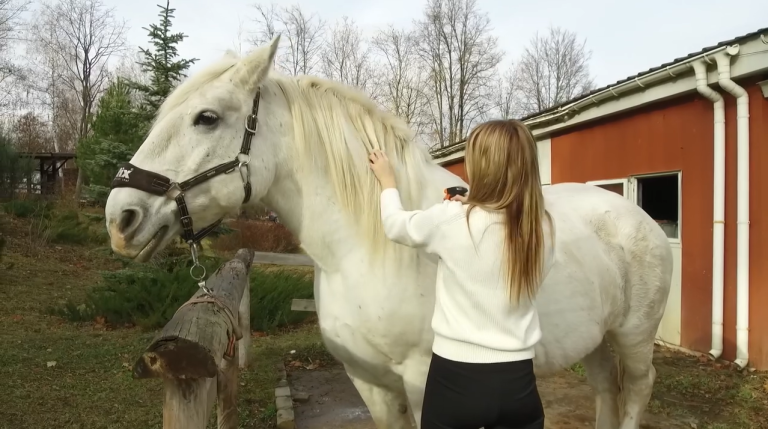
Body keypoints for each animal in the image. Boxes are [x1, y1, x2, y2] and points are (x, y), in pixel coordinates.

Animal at [103, 36, 672, 428]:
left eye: (206, 117)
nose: (120, 218)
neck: (365, 251)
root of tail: (636, 217)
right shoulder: (371, 384)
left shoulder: (424, 383)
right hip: (596, 340)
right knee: (605, 391)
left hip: (634, 337)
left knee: (637, 390)